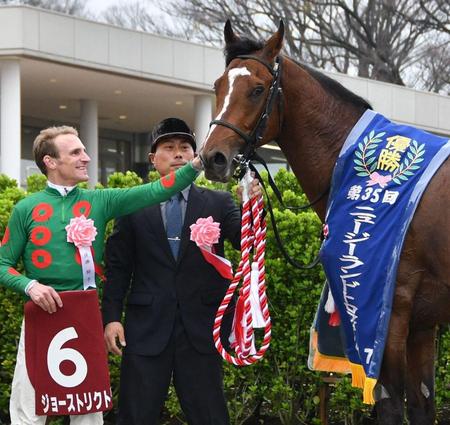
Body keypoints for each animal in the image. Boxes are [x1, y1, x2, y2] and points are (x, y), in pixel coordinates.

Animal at [200, 20, 450, 425]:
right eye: (218, 85)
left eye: (257, 89)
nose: (213, 157)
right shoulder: (423, 322)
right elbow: (422, 404)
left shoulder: (389, 312)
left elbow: (391, 405)